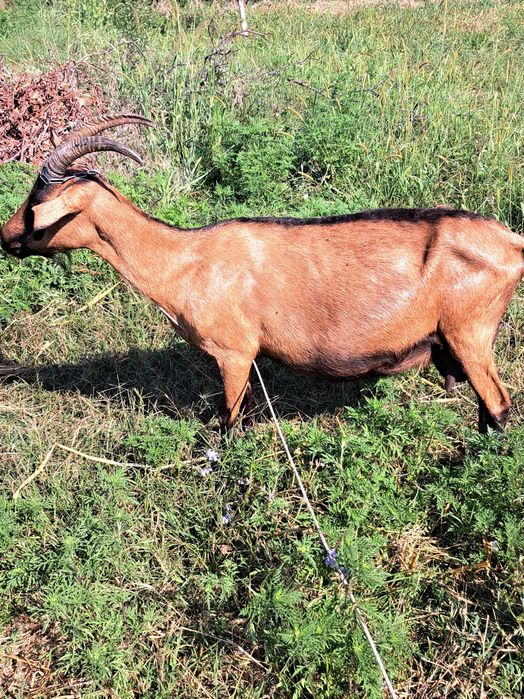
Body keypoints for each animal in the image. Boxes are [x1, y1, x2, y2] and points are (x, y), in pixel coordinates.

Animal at [1, 114, 523, 431]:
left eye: (36, 205)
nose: (6, 237)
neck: (186, 259)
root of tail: (511, 241)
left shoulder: (233, 352)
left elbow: (230, 421)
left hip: (470, 332)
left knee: (498, 404)